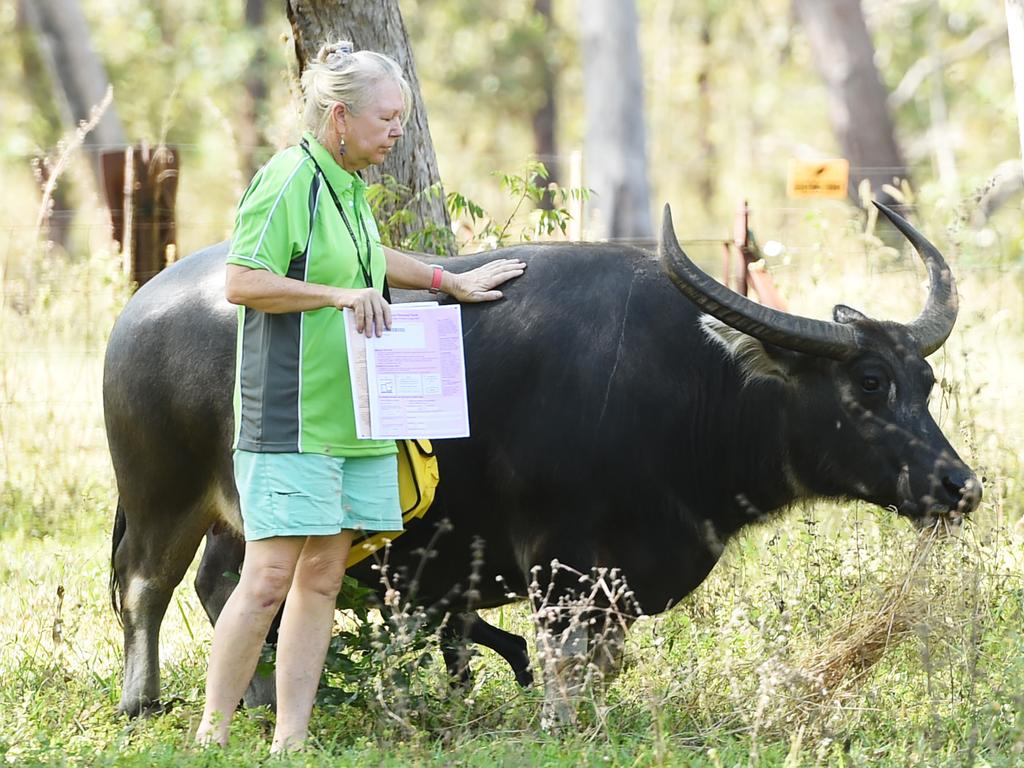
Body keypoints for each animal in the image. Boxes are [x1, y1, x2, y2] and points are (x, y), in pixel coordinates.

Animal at [103, 201, 974, 720]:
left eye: (925, 381)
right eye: (868, 381)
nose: (958, 485)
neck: (690, 386)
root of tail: (139, 311)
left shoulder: (616, 580)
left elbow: (603, 664)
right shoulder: (560, 563)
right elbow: (562, 661)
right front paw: (561, 724)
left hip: (239, 515)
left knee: (226, 586)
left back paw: (254, 699)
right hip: (162, 494)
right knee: (148, 588)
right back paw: (143, 702)